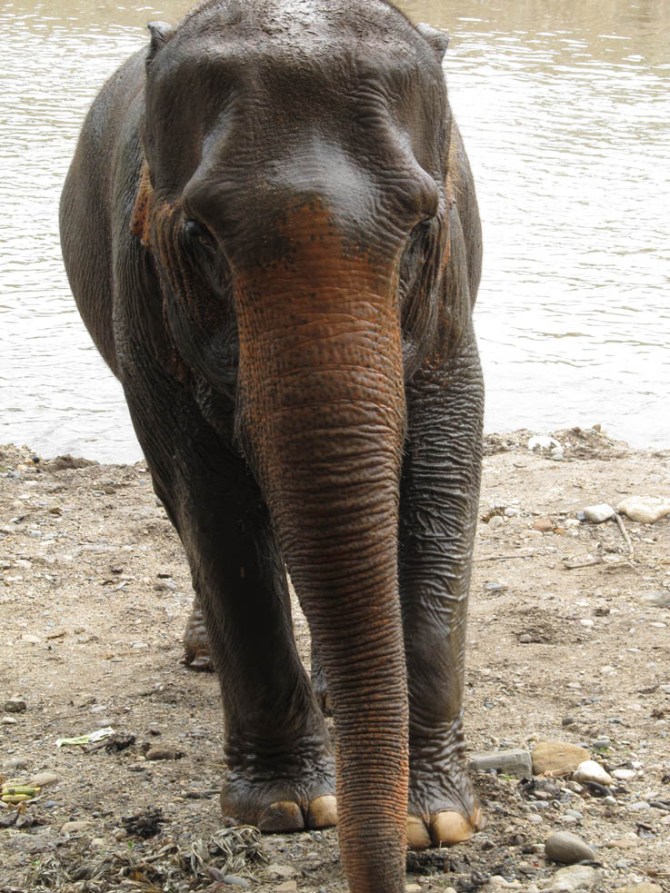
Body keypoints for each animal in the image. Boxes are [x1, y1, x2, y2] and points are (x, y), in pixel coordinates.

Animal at [59, 2, 485, 891]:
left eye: (424, 225)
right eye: (198, 235)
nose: (391, 867)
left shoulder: (453, 300)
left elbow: (446, 458)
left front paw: (437, 822)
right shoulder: (142, 305)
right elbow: (211, 500)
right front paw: (289, 810)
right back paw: (206, 657)